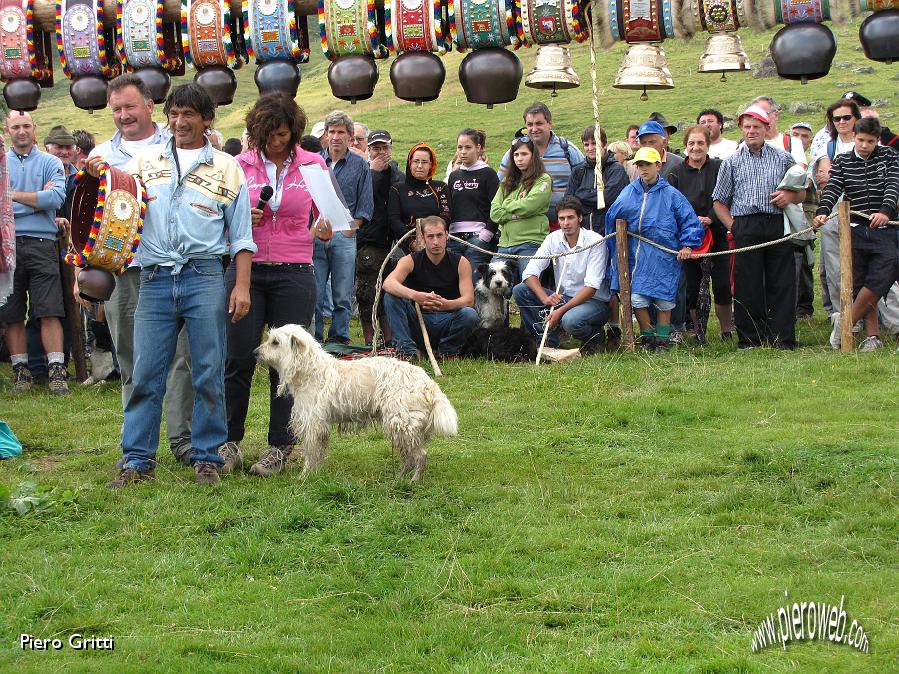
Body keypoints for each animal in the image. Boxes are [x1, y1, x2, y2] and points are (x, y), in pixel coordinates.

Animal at [258, 324, 458, 478]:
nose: (255, 352)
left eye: (275, 342)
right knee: (409, 457)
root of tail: (427, 382)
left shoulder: (312, 424)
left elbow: (311, 453)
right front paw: (316, 474)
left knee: (420, 456)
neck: (310, 370)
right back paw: (400, 478)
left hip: (402, 423)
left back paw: (412, 482)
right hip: (403, 427)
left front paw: (305, 476)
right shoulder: (319, 427)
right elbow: (319, 453)